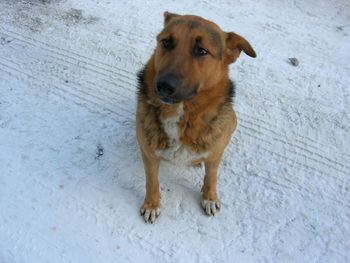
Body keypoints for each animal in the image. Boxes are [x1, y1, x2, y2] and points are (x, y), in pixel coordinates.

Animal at [136, 11, 254, 223]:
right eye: (166, 42)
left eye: (201, 50)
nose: (164, 85)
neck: (183, 113)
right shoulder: (149, 155)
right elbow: (151, 181)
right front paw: (151, 204)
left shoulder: (215, 154)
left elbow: (211, 176)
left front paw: (209, 197)